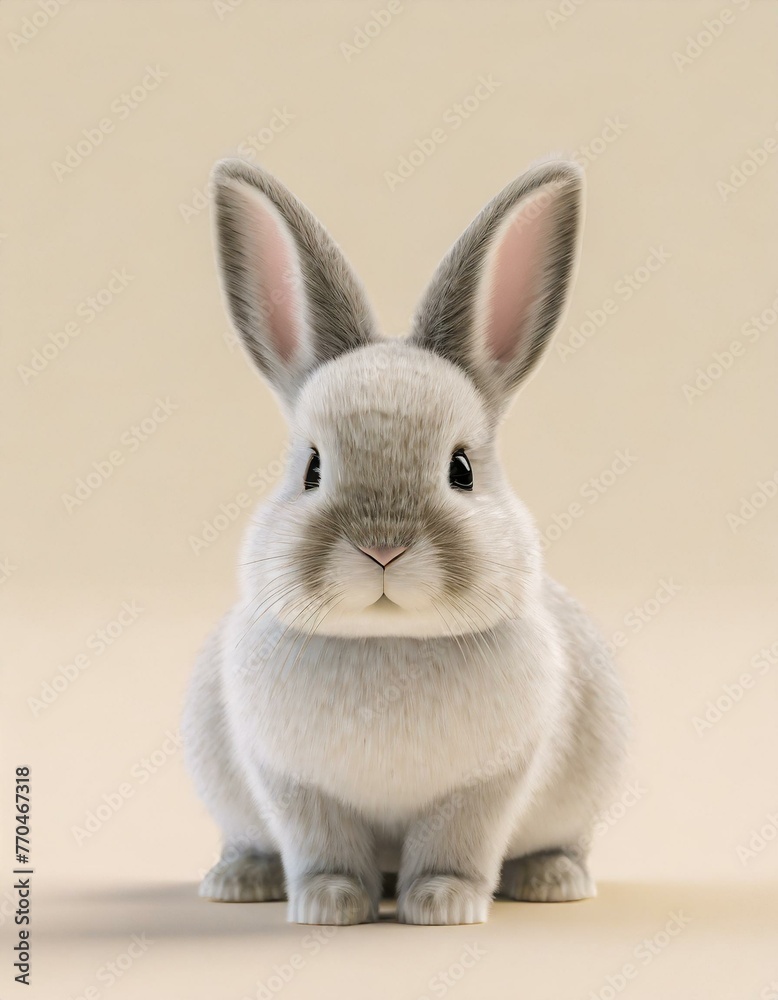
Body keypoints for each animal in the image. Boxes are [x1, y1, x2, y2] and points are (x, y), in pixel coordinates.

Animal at [182, 155, 629, 926]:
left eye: (462, 469)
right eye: (312, 469)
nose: (382, 549)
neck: (387, 639)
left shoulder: (487, 787)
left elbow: (455, 845)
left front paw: (444, 904)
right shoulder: (294, 787)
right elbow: (322, 847)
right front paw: (328, 904)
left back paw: (552, 881)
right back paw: (240, 880)